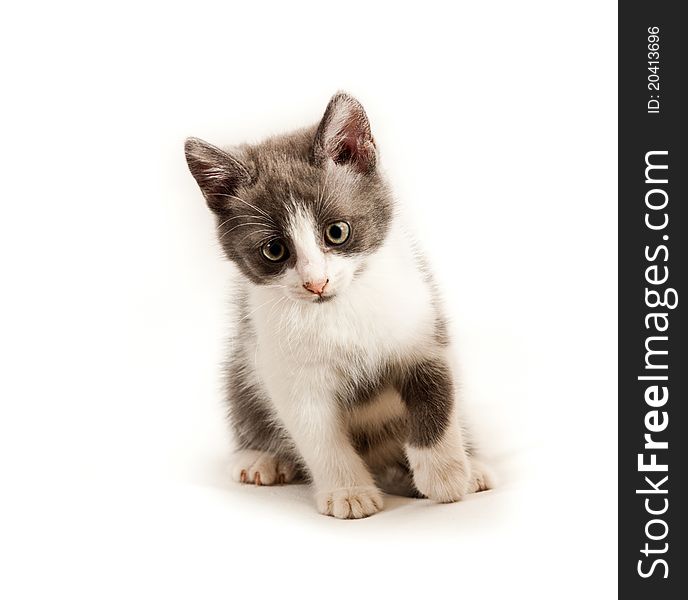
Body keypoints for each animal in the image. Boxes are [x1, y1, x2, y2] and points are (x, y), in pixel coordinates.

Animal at [185, 91, 492, 516]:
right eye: (274, 250)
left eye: (337, 232)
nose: (316, 283)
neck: (337, 309)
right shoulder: (286, 370)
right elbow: (318, 435)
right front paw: (349, 492)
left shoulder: (422, 328)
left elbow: (438, 398)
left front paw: (446, 477)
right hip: (242, 366)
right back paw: (260, 458)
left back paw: (470, 465)